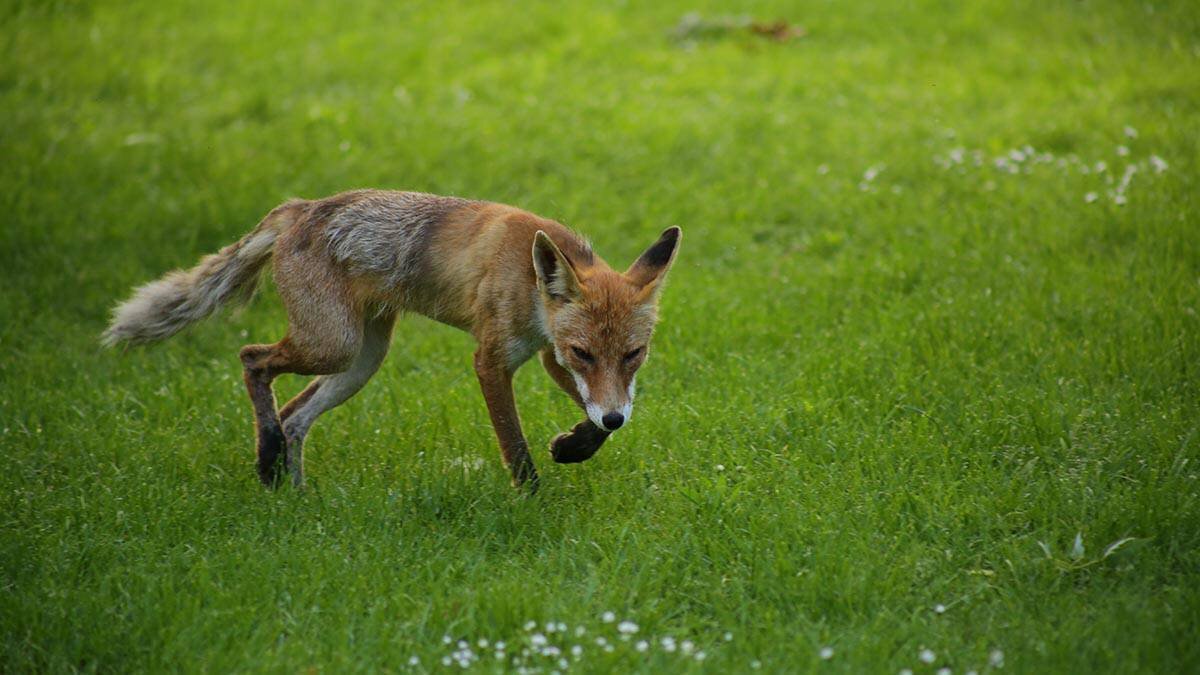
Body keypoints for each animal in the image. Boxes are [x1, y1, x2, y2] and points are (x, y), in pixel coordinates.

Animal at [98, 189, 681, 487]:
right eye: (586, 352)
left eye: (634, 354)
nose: (614, 417)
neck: (527, 277)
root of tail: (301, 206)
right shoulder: (495, 359)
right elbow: (516, 449)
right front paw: (533, 503)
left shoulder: (550, 356)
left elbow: (599, 419)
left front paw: (575, 446)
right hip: (330, 344)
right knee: (253, 359)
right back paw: (267, 460)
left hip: (360, 361)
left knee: (295, 416)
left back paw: (294, 493)